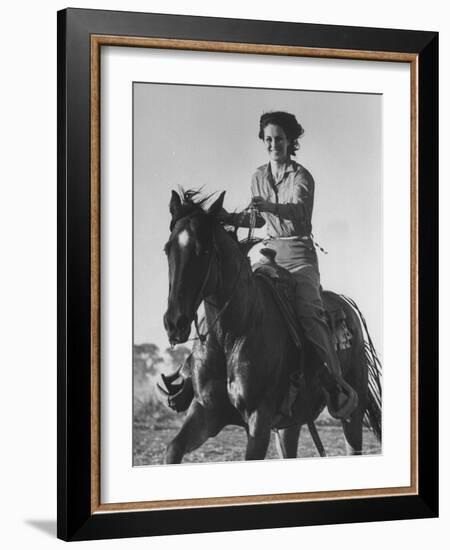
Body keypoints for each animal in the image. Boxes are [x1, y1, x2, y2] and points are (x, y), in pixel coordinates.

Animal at [161, 191, 380, 466]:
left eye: (205, 250)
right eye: (168, 249)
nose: (174, 322)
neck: (232, 334)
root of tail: (346, 306)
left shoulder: (259, 419)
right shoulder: (206, 411)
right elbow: (173, 449)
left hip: (352, 412)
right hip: (291, 424)